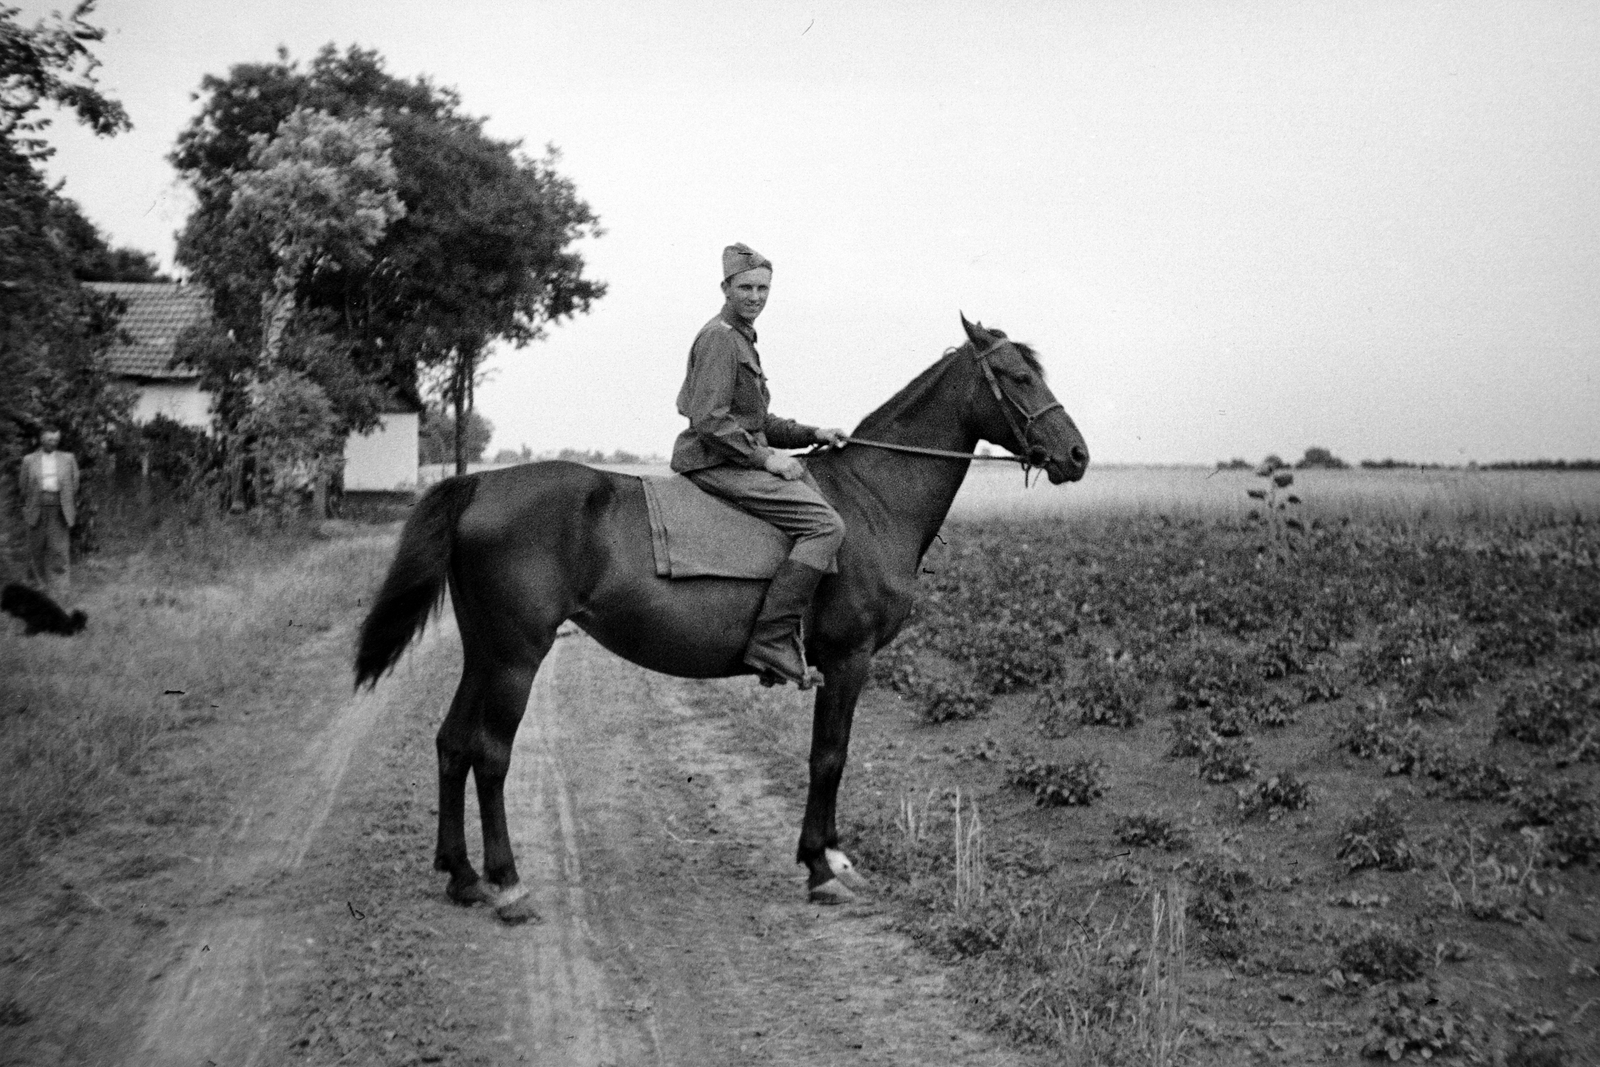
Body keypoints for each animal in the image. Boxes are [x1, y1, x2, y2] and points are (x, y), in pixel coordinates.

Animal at [354, 315, 1089, 922]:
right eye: (1019, 376)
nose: (1078, 456)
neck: (872, 499)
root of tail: (481, 483)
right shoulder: (849, 659)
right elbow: (829, 756)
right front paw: (821, 866)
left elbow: (832, 755)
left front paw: (832, 855)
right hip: (515, 655)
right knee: (489, 755)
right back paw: (507, 884)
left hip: (484, 649)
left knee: (452, 744)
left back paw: (462, 876)